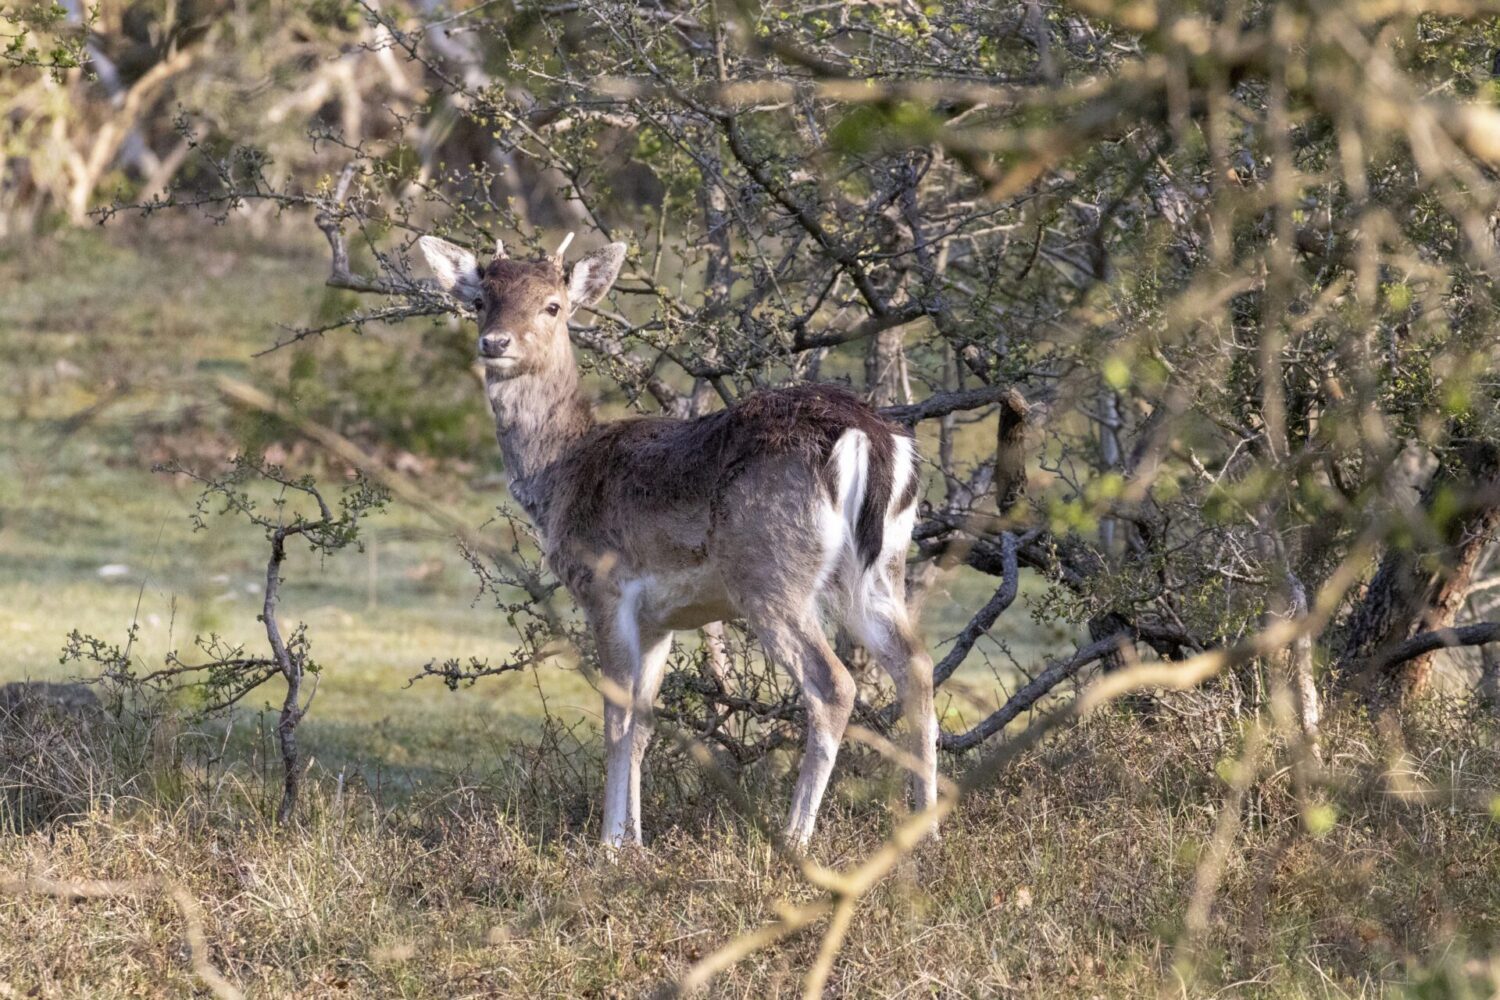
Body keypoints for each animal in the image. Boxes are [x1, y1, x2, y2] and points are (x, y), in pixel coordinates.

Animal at [423, 230, 936, 851]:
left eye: (553, 305)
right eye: (481, 300)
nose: (495, 342)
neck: (562, 473)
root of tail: (871, 437)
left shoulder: (605, 587)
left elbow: (616, 716)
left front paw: (609, 844)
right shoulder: (660, 617)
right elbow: (645, 721)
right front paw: (637, 840)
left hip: (769, 572)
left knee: (833, 684)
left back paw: (794, 839)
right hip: (881, 568)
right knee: (917, 666)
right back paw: (929, 831)